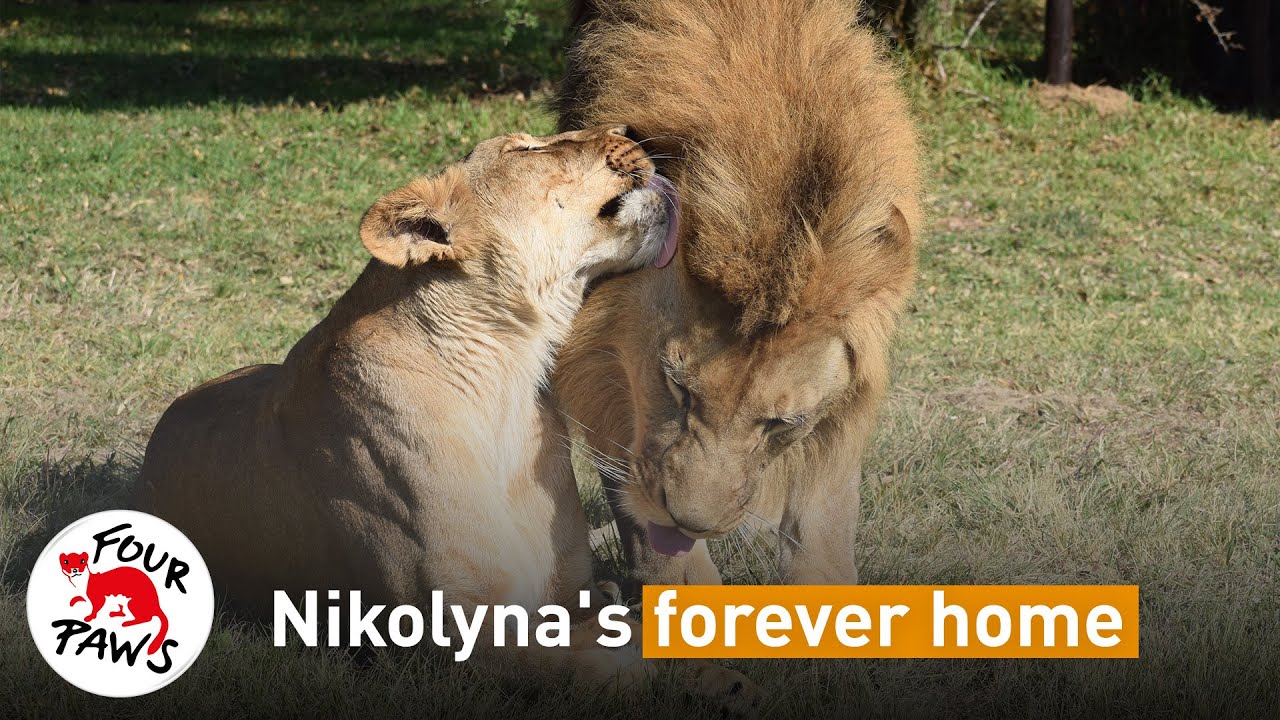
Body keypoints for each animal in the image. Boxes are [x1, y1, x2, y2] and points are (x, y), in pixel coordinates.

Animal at [132, 126, 762, 700]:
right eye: (526, 149)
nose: (631, 129)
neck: (506, 378)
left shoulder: (566, 590)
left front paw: (724, 678)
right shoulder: (445, 638)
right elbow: (572, 666)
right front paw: (628, 661)